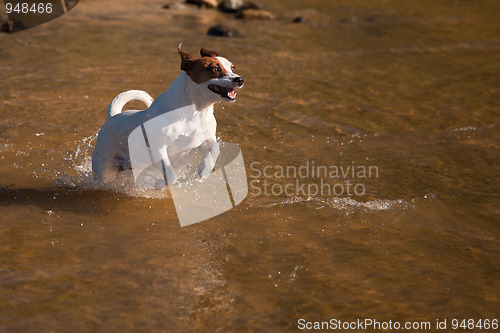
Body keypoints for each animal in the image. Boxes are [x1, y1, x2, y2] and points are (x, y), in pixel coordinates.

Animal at [92, 42, 246, 184]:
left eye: (232, 68)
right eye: (215, 69)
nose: (240, 79)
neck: (195, 112)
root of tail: (113, 117)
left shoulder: (203, 141)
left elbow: (215, 148)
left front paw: (205, 168)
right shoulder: (158, 149)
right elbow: (171, 176)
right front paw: (159, 184)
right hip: (104, 169)